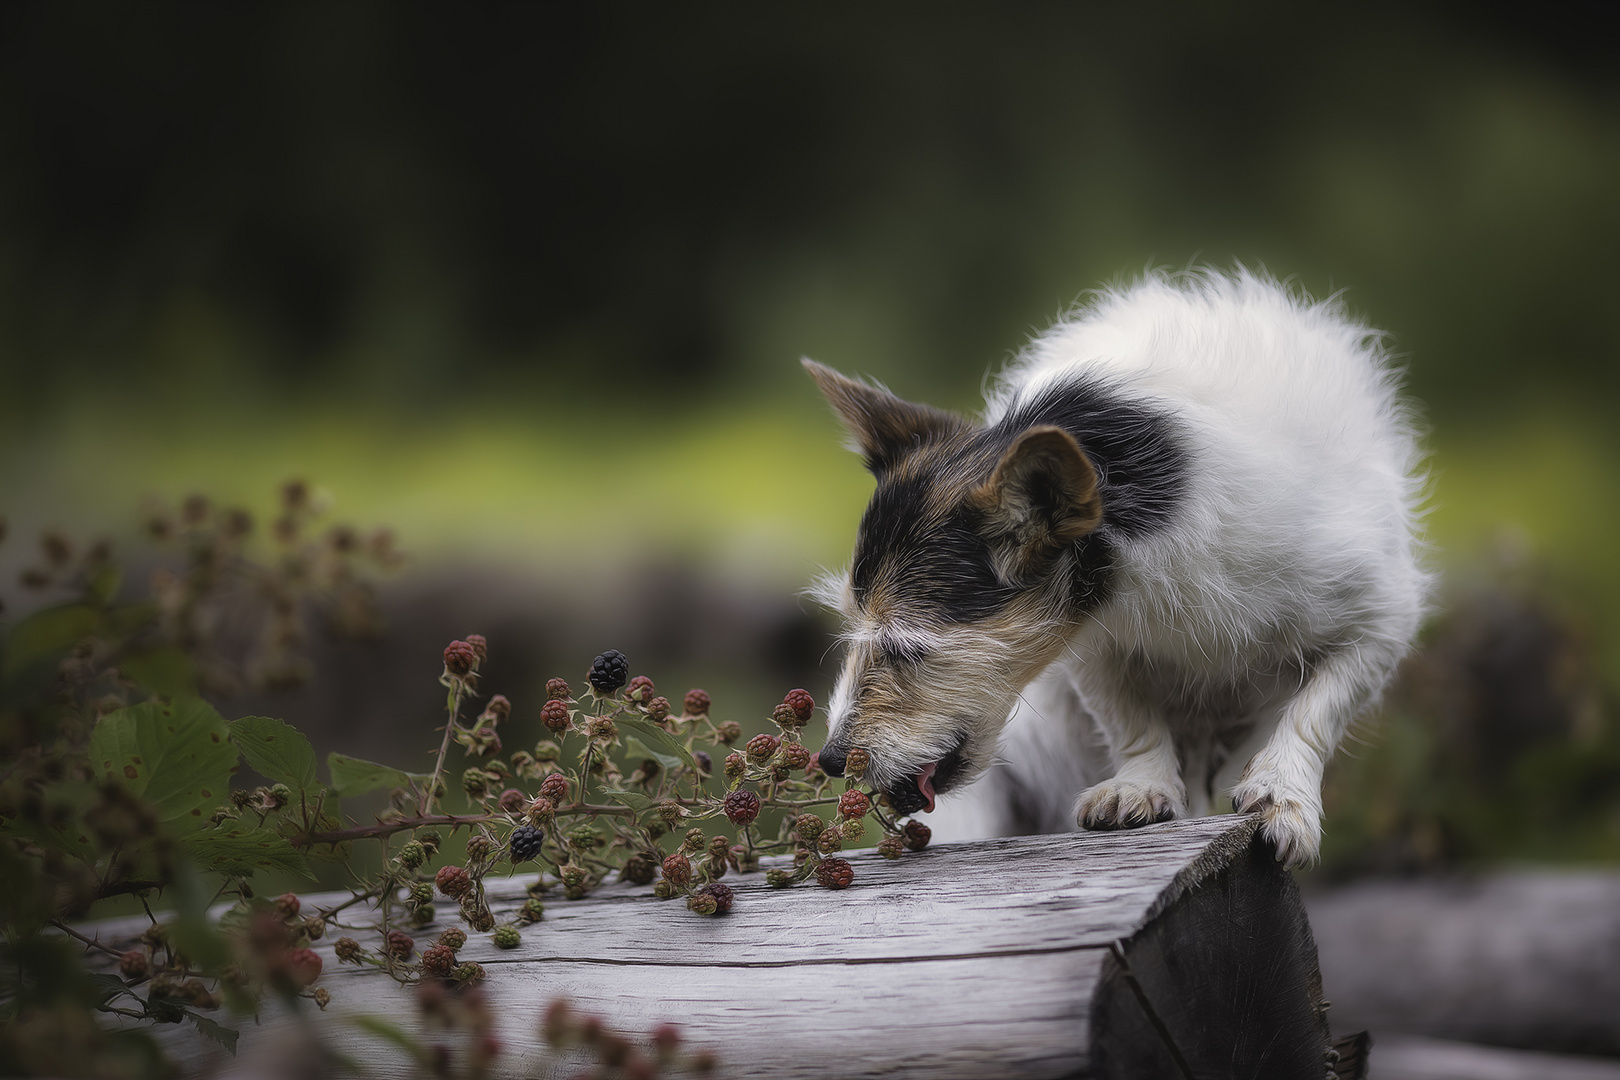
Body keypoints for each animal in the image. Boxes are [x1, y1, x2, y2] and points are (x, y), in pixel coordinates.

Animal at [803, 270, 1425, 867]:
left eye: (907, 648)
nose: (829, 760)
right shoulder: (1088, 643)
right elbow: (1129, 716)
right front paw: (1141, 786)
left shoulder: (1380, 621)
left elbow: (1312, 713)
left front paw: (1280, 795)